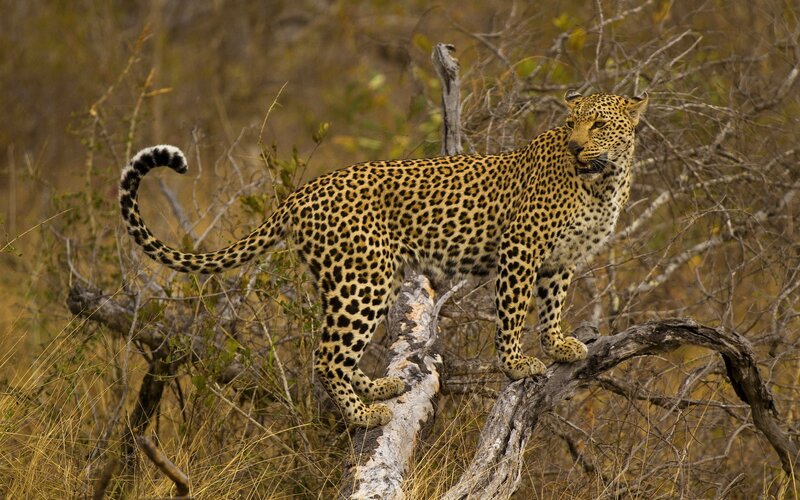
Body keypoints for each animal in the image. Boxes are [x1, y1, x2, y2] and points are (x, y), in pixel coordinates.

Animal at [119, 90, 648, 428]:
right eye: (571, 125)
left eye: (598, 124)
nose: (576, 146)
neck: (604, 178)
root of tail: (301, 193)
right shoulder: (522, 248)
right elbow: (514, 312)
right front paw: (518, 365)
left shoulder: (561, 258)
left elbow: (552, 304)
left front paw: (559, 345)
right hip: (363, 281)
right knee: (326, 356)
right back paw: (363, 415)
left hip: (358, 279)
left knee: (338, 350)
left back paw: (376, 391)